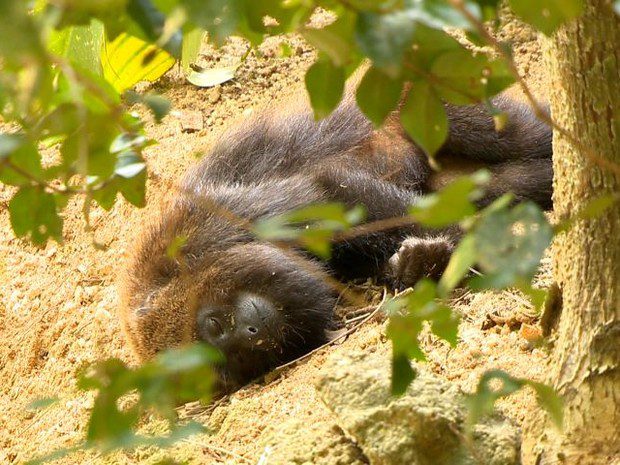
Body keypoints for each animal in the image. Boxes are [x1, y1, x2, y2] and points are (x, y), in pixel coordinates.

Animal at [120, 85, 552, 390]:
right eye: (229, 363)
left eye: (214, 326)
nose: (252, 336)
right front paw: (414, 265)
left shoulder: (211, 223)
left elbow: (331, 189)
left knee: (516, 135)